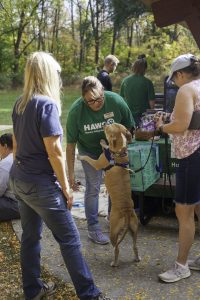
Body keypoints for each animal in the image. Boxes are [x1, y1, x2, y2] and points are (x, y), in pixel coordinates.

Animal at [77, 123, 140, 266]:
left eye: (108, 128)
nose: (105, 123)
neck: (119, 152)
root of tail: (126, 212)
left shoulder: (96, 163)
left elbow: (88, 158)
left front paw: (81, 156)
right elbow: (106, 146)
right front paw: (103, 143)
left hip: (113, 232)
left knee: (117, 248)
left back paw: (114, 263)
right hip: (134, 229)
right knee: (135, 246)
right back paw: (137, 258)